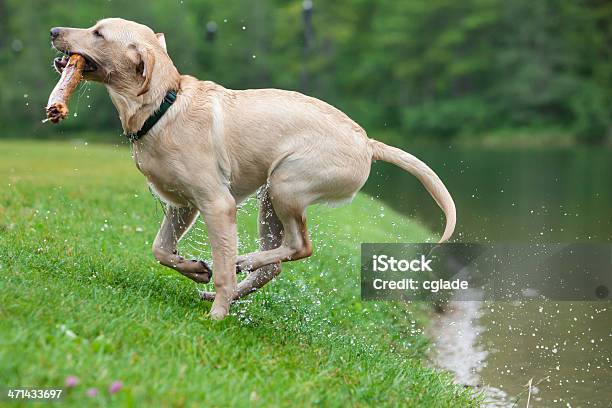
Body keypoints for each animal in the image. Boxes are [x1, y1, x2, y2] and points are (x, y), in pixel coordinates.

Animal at [51, 18, 454, 318]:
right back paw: (240, 276)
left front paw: (218, 315)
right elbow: (161, 250)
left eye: (99, 33)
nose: (54, 32)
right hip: (270, 199)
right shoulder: (184, 206)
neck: (164, 106)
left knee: (299, 246)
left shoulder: (217, 204)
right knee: (276, 264)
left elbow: (219, 269)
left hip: (286, 183)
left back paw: (240, 267)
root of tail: (368, 143)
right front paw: (195, 269)